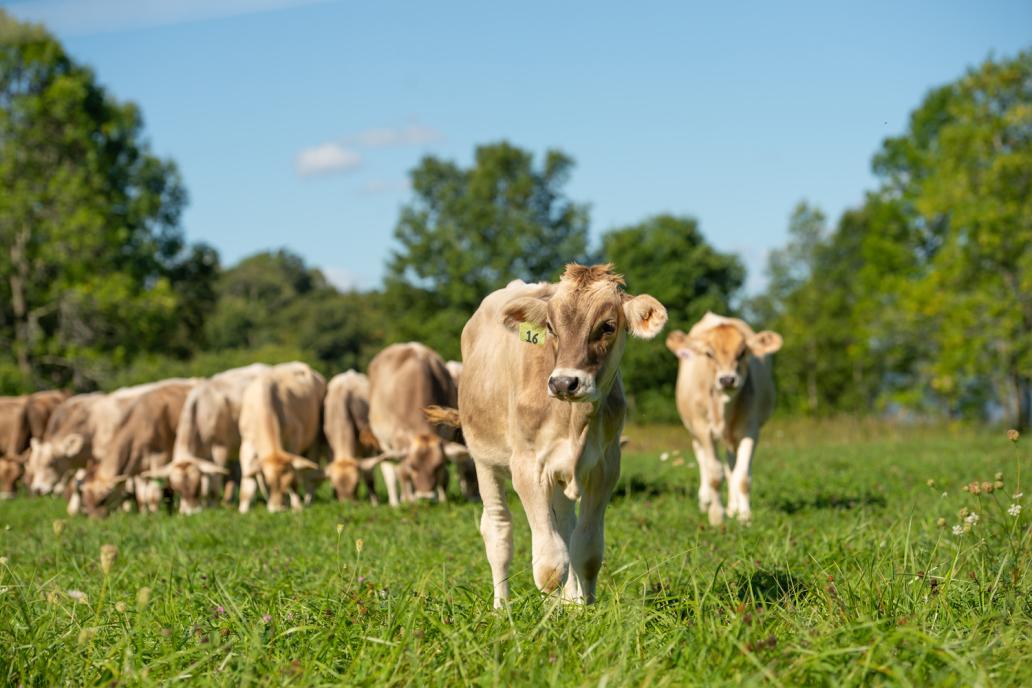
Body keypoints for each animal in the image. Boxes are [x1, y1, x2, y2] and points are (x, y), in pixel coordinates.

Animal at [78, 379, 197, 519]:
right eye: (84, 498)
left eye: (103, 499)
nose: (94, 519)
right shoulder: (139, 469)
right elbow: (141, 496)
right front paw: (145, 515)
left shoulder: (159, 459)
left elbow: (153, 494)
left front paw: (157, 515)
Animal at [149, 363, 272, 513]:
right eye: (177, 489)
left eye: (196, 487)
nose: (190, 513)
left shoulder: (220, 449)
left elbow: (214, 481)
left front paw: (212, 506)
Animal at [237, 363, 326, 513]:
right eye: (268, 483)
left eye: (286, 484)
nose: (277, 509)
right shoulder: (246, 445)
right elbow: (247, 483)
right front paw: (243, 510)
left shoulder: (294, 439)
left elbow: (295, 479)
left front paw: (297, 506)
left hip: (314, 441)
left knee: (310, 474)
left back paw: (308, 500)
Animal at [367, 342, 468, 505]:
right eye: (413, 466)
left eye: (437, 466)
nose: (425, 497)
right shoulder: (399, 440)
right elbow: (402, 473)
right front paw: (408, 500)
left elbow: (444, 476)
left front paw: (442, 499)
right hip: (383, 441)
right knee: (390, 471)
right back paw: (396, 501)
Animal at [431, 264, 664, 606]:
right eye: (551, 328)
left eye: (607, 326)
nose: (565, 383)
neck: (575, 422)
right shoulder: (528, 467)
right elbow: (551, 563)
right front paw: (549, 616)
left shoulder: (605, 467)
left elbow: (586, 549)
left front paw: (583, 608)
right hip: (483, 460)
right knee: (498, 531)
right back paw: (502, 606)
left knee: (566, 527)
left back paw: (570, 602)